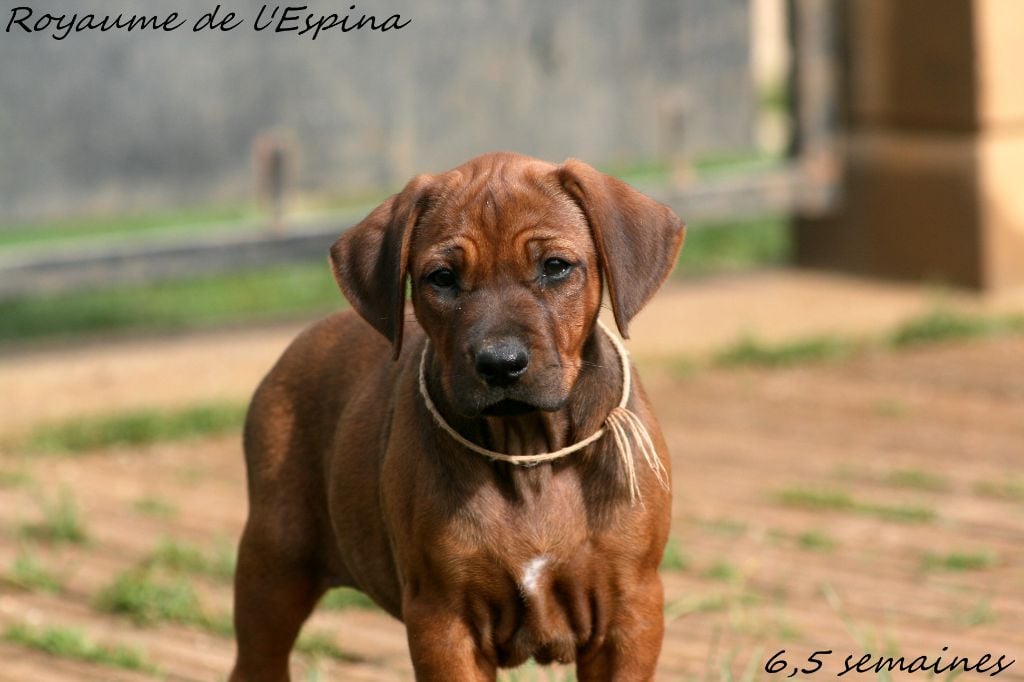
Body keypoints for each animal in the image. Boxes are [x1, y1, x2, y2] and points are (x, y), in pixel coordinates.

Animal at [230, 152, 685, 681]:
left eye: (555, 267)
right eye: (443, 278)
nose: (501, 364)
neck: (529, 451)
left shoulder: (630, 613)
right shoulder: (444, 619)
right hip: (273, 564)